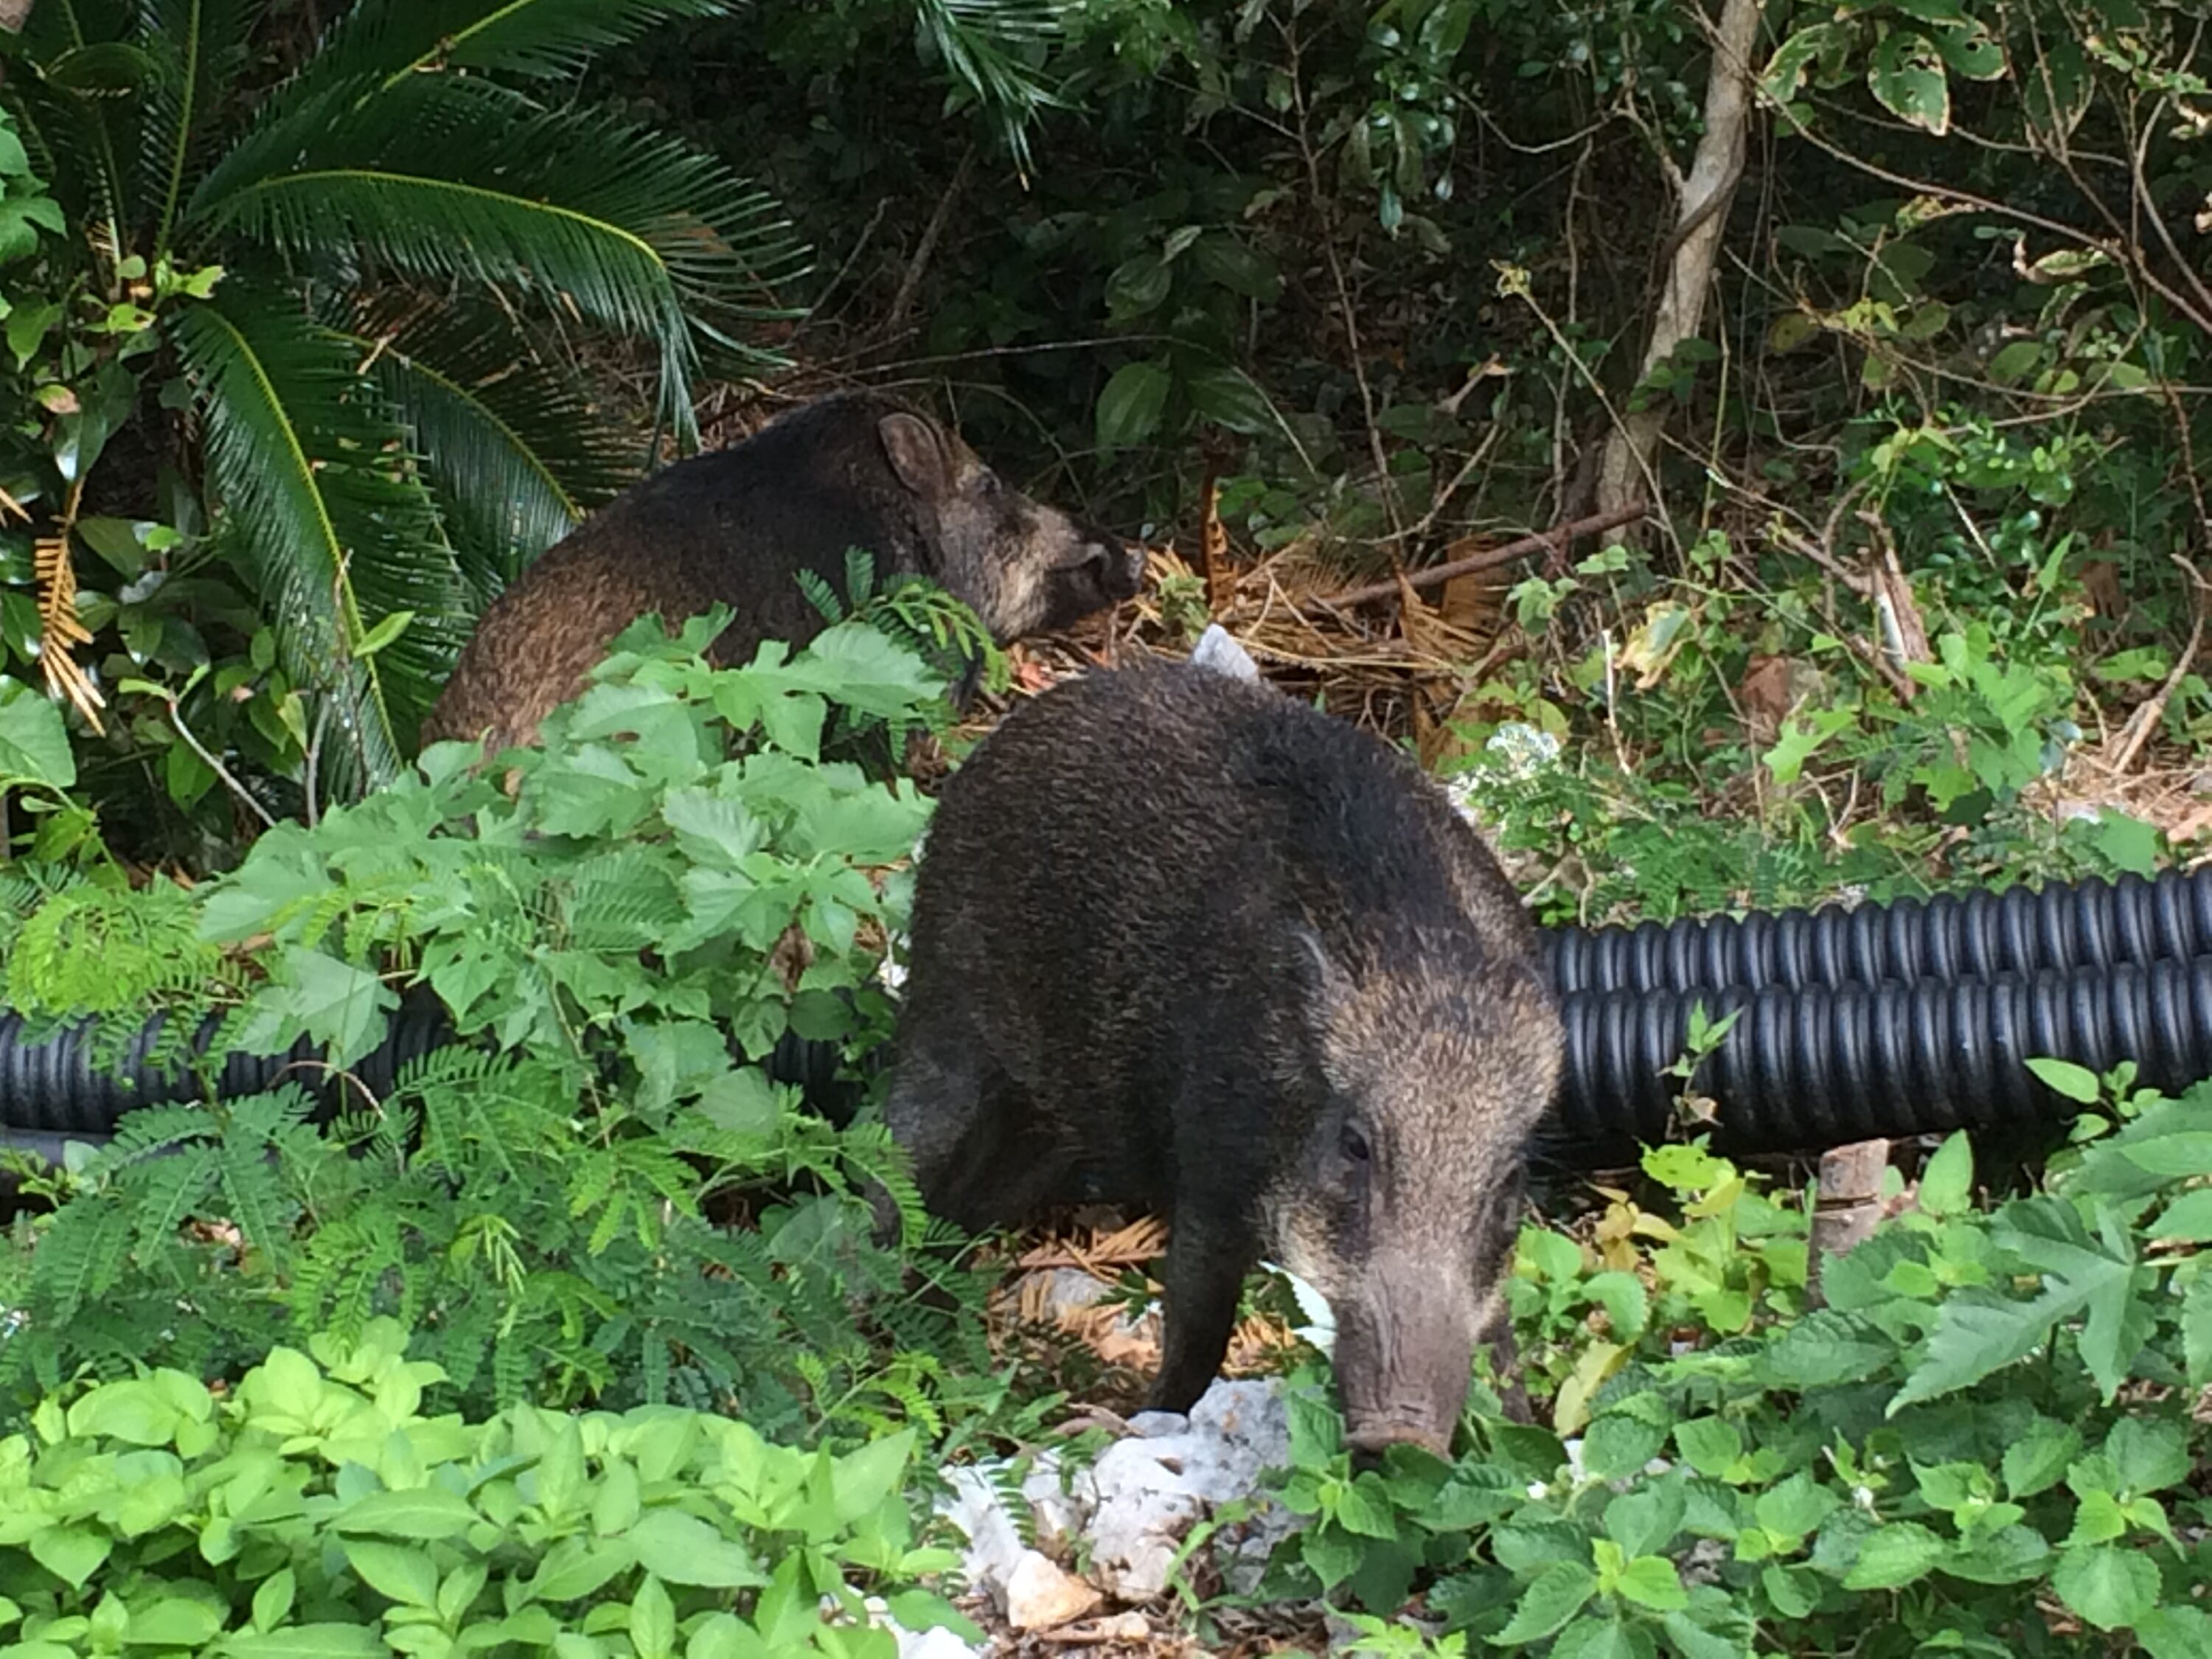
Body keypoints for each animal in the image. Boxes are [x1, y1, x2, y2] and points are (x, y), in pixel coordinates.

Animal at [882, 663, 1563, 1458]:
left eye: (1507, 1179)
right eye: (1356, 1144)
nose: (1404, 1434)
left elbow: (1501, 1341)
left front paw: (1523, 1432)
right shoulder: (1209, 1172)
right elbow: (1198, 1327)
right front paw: (1156, 1421)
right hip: (946, 1012)